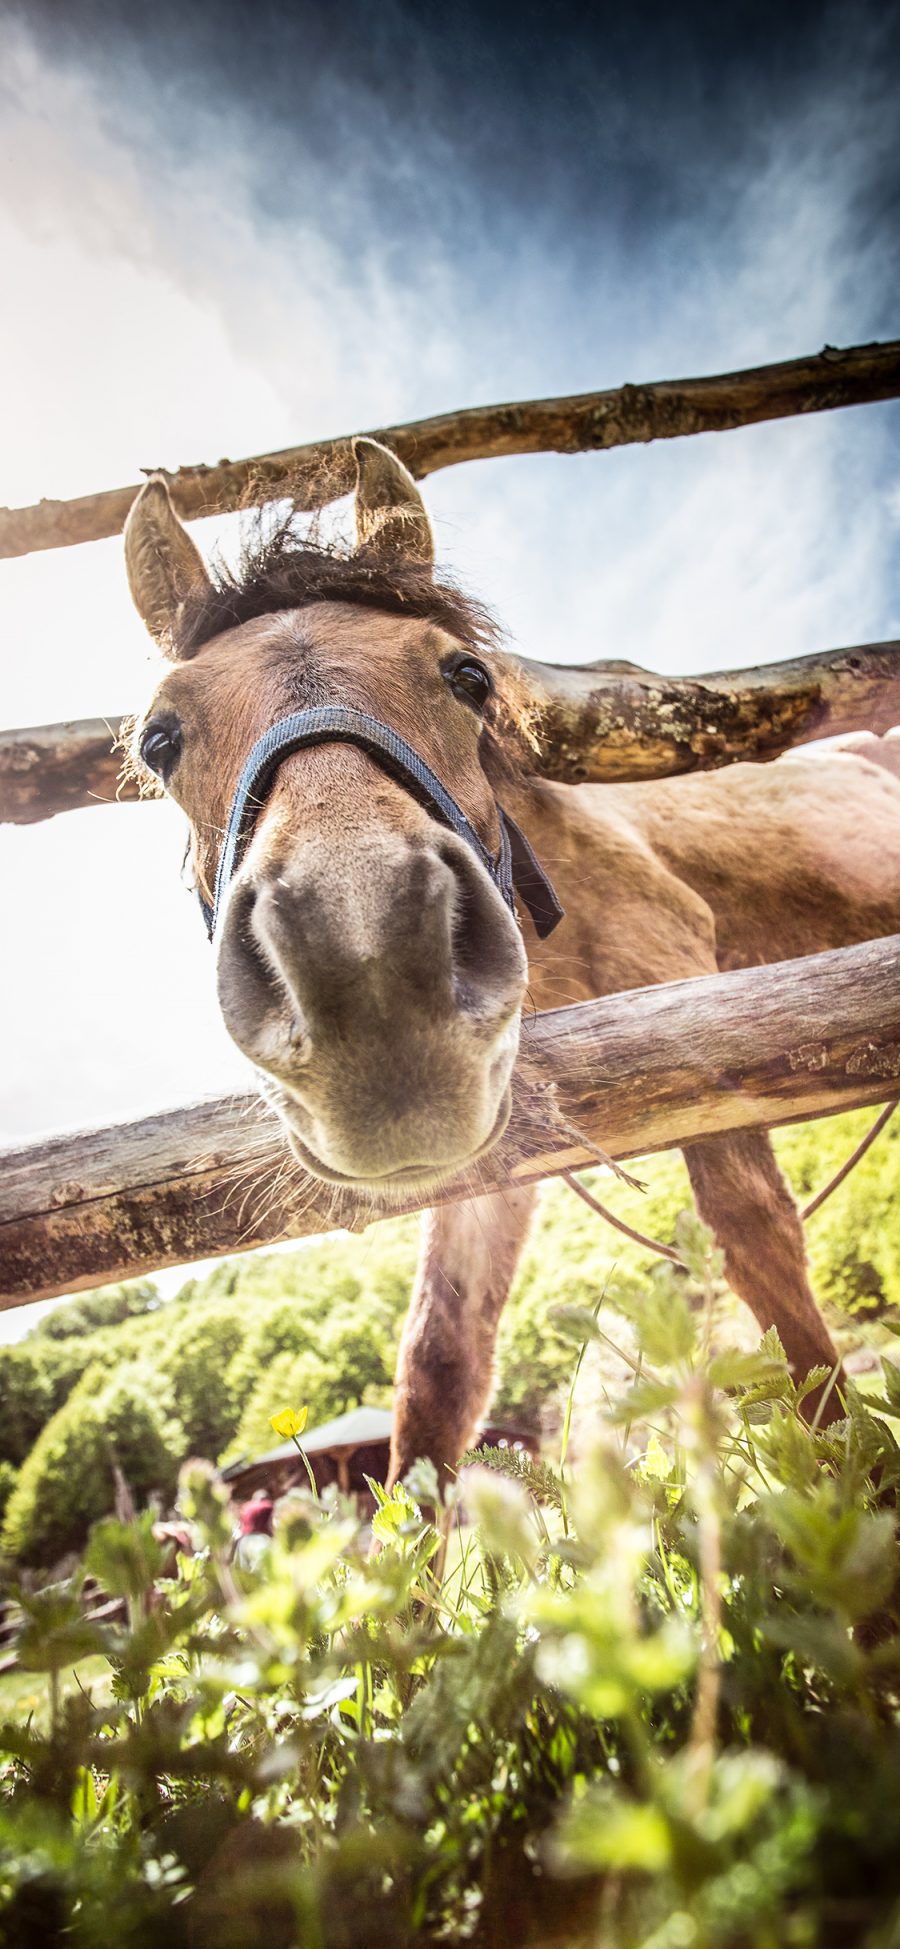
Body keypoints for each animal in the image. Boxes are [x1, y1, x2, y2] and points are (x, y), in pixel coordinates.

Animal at [123, 438, 900, 1473]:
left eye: (468, 677)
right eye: (160, 739)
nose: (363, 960)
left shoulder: (691, 1006)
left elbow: (758, 1243)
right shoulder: (498, 1120)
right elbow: (440, 1359)